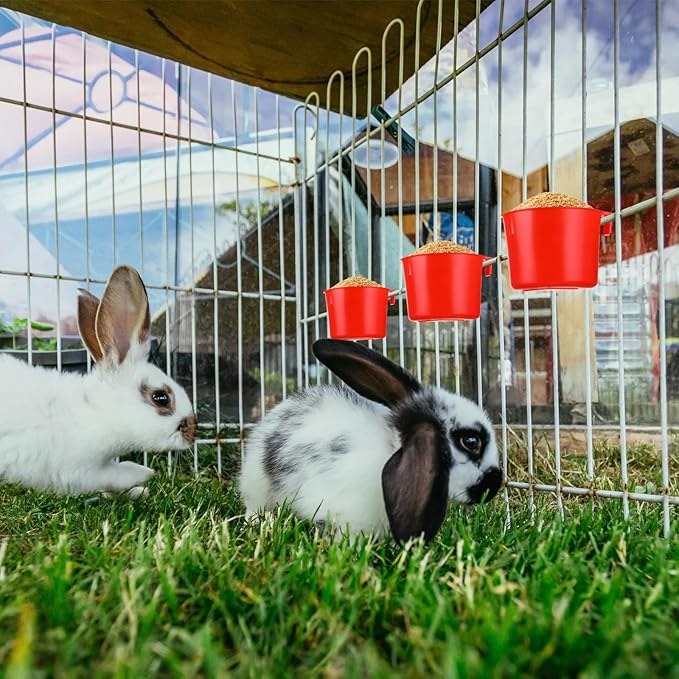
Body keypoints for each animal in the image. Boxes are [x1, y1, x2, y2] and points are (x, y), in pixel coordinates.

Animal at [0, 265, 198, 497]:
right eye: (161, 398)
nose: (193, 432)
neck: (97, 411)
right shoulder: (81, 472)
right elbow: (118, 474)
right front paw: (145, 475)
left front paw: (137, 492)